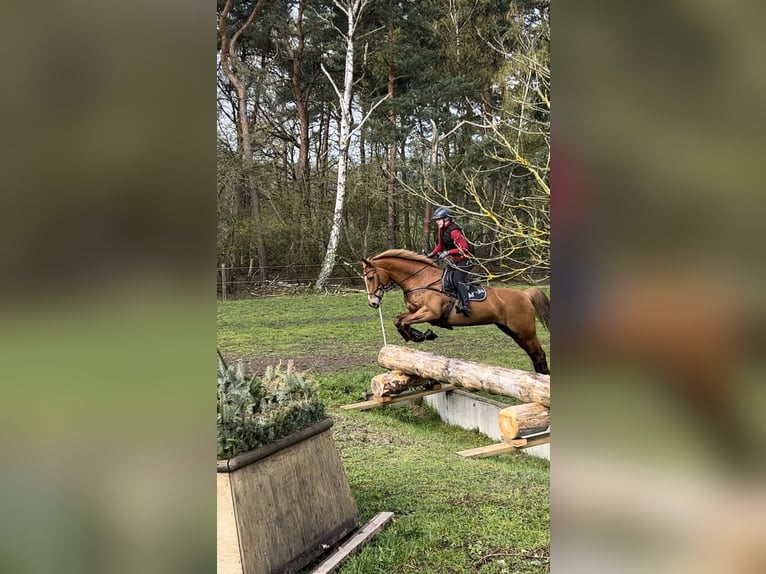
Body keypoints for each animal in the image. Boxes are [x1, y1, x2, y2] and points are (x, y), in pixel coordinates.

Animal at [362, 250, 552, 376]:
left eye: (370, 278)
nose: (373, 303)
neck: (420, 280)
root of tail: (525, 294)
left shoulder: (430, 312)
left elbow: (404, 322)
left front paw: (422, 335)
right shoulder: (414, 310)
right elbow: (399, 320)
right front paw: (418, 335)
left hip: (525, 332)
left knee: (539, 354)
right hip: (514, 332)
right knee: (534, 355)